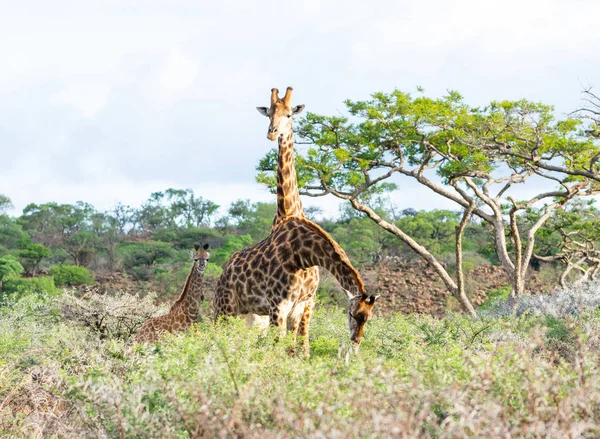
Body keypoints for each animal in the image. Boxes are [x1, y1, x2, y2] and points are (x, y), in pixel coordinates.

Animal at [213, 218, 378, 356]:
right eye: (351, 314)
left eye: (369, 318)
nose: (356, 341)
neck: (303, 256)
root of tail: (223, 274)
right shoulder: (278, 305)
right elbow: (277, 343)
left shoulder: (298, 306)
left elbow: (290, 345)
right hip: (225, 309)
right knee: (218, 337)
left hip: (249, 315)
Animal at [254, 87, 322, 344]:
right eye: (269, 114)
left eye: (289, 114)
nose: (272, 133)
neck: (286, 211)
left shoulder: (300, 303)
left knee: (302, 337)